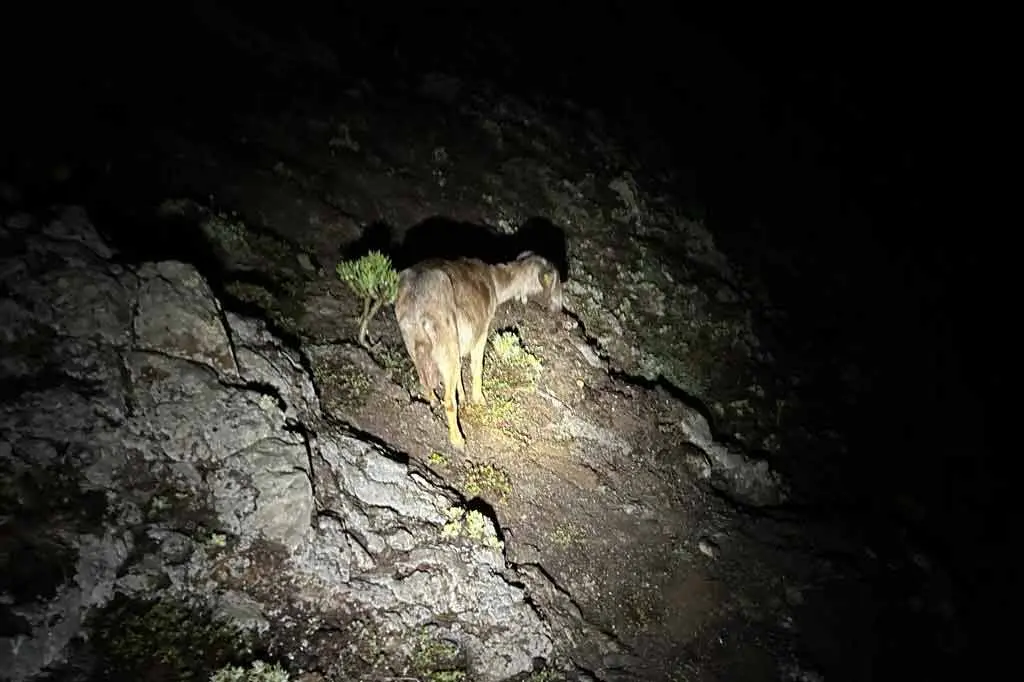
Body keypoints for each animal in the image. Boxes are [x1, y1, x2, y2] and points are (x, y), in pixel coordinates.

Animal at [393, 251, 569, 448]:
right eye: (557, 282)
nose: (559, 309)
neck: (495, 280)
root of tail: (416, 303)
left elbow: (460, 375)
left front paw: (463, 396)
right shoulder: (481, 331)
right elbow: (477, 367)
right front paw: (479, 399)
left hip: (415, 345)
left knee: (426, 384)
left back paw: (433, 403)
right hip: (445, 344)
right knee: (449, 401)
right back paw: (458, 440)